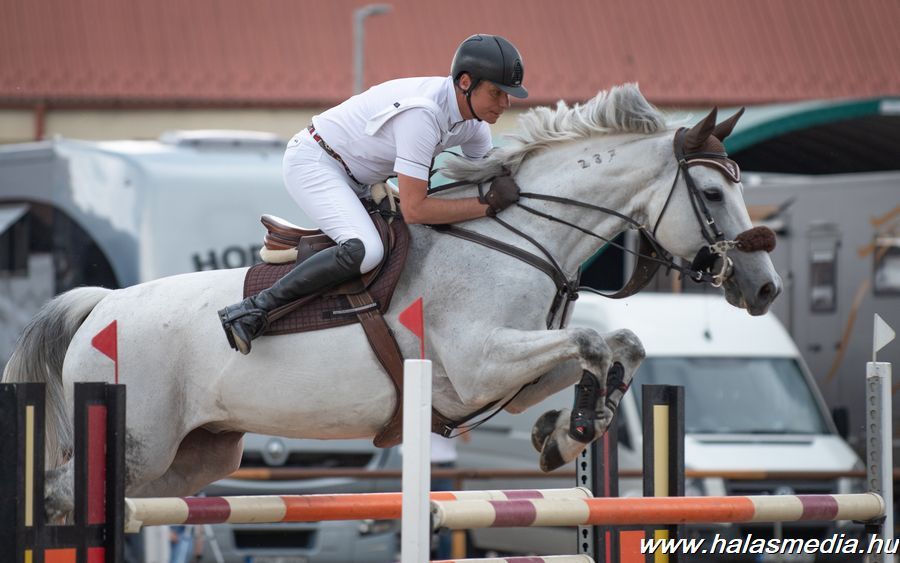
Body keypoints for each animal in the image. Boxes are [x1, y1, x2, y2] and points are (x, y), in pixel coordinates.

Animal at [3, 83, 780, 520]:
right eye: (713, 193)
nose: (764, 285)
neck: (522, 237)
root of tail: (102, 305)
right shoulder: (480, 363)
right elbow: (594, 341)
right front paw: (578, 425)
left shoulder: (510, 373)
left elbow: (617, 347)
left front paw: (567, 430)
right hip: (140, 435)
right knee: (63, 492)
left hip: (192, 455)